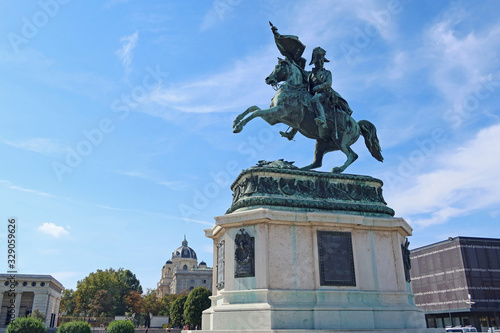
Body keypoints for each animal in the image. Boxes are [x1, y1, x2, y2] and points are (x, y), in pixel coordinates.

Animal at [231, 57, 382, 172]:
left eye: (279, 67)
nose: (267, 79)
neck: (291, 90)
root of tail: (357, 125)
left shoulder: (278, 112)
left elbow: (256, 112)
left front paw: (239, 126)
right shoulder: (272, 118)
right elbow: (253, 108)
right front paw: (236, 121)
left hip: (340, 140)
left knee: (352, 155)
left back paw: (337, 169)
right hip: (322, 144)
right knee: (317, 163)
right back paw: (299, 169)